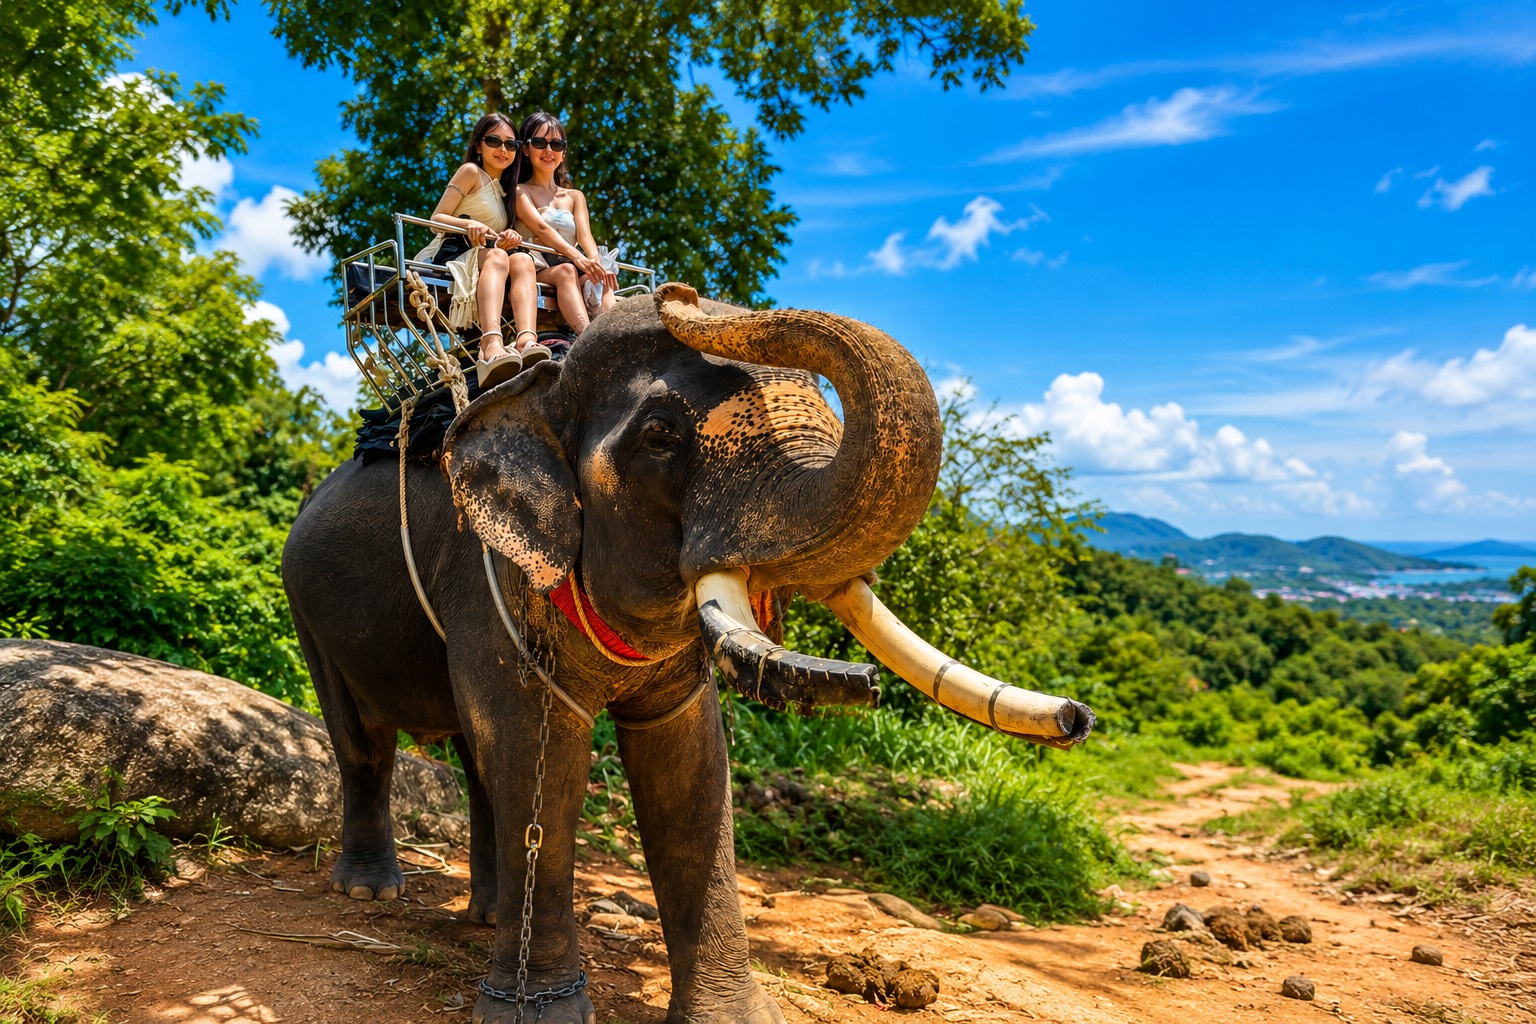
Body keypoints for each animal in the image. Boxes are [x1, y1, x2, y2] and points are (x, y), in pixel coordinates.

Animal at [281, 283, 1093, 1024]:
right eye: (661, 436)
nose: (1078, 719)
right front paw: (536, 1016)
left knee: (476, 763)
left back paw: (481, 916)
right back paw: (370, 890)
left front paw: (729, 1018)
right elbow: (539, 749)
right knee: (364, 743)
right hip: (305, 604)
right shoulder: (488, 579)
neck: (543, 384)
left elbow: (689, 764)